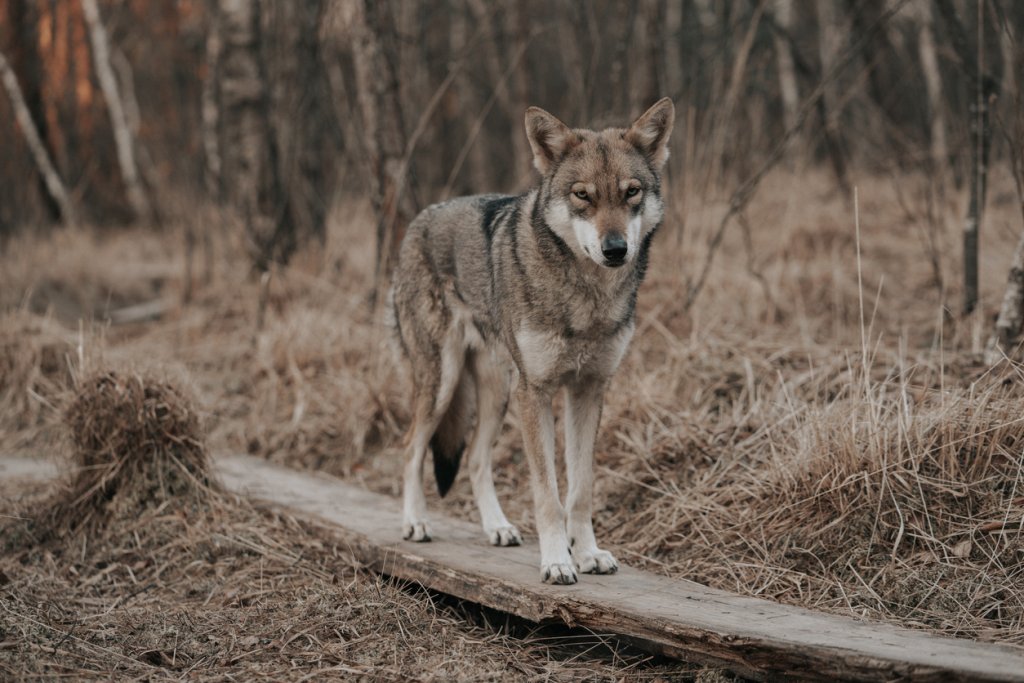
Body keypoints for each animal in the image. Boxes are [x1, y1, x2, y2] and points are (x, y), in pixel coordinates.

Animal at [389, 98, 671, 585]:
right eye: (582, 196)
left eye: (631, 192)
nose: (615, 249)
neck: (586, 297)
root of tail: (417, 221)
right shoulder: (537, 392)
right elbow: (548, 492)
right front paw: (557, 560)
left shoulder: (588, 390)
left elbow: (580, 488)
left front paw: (588, 553)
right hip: (444, 383)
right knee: (411, 446)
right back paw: (416, 522)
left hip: (499, 391)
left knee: (475, 459)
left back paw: (498, 528)